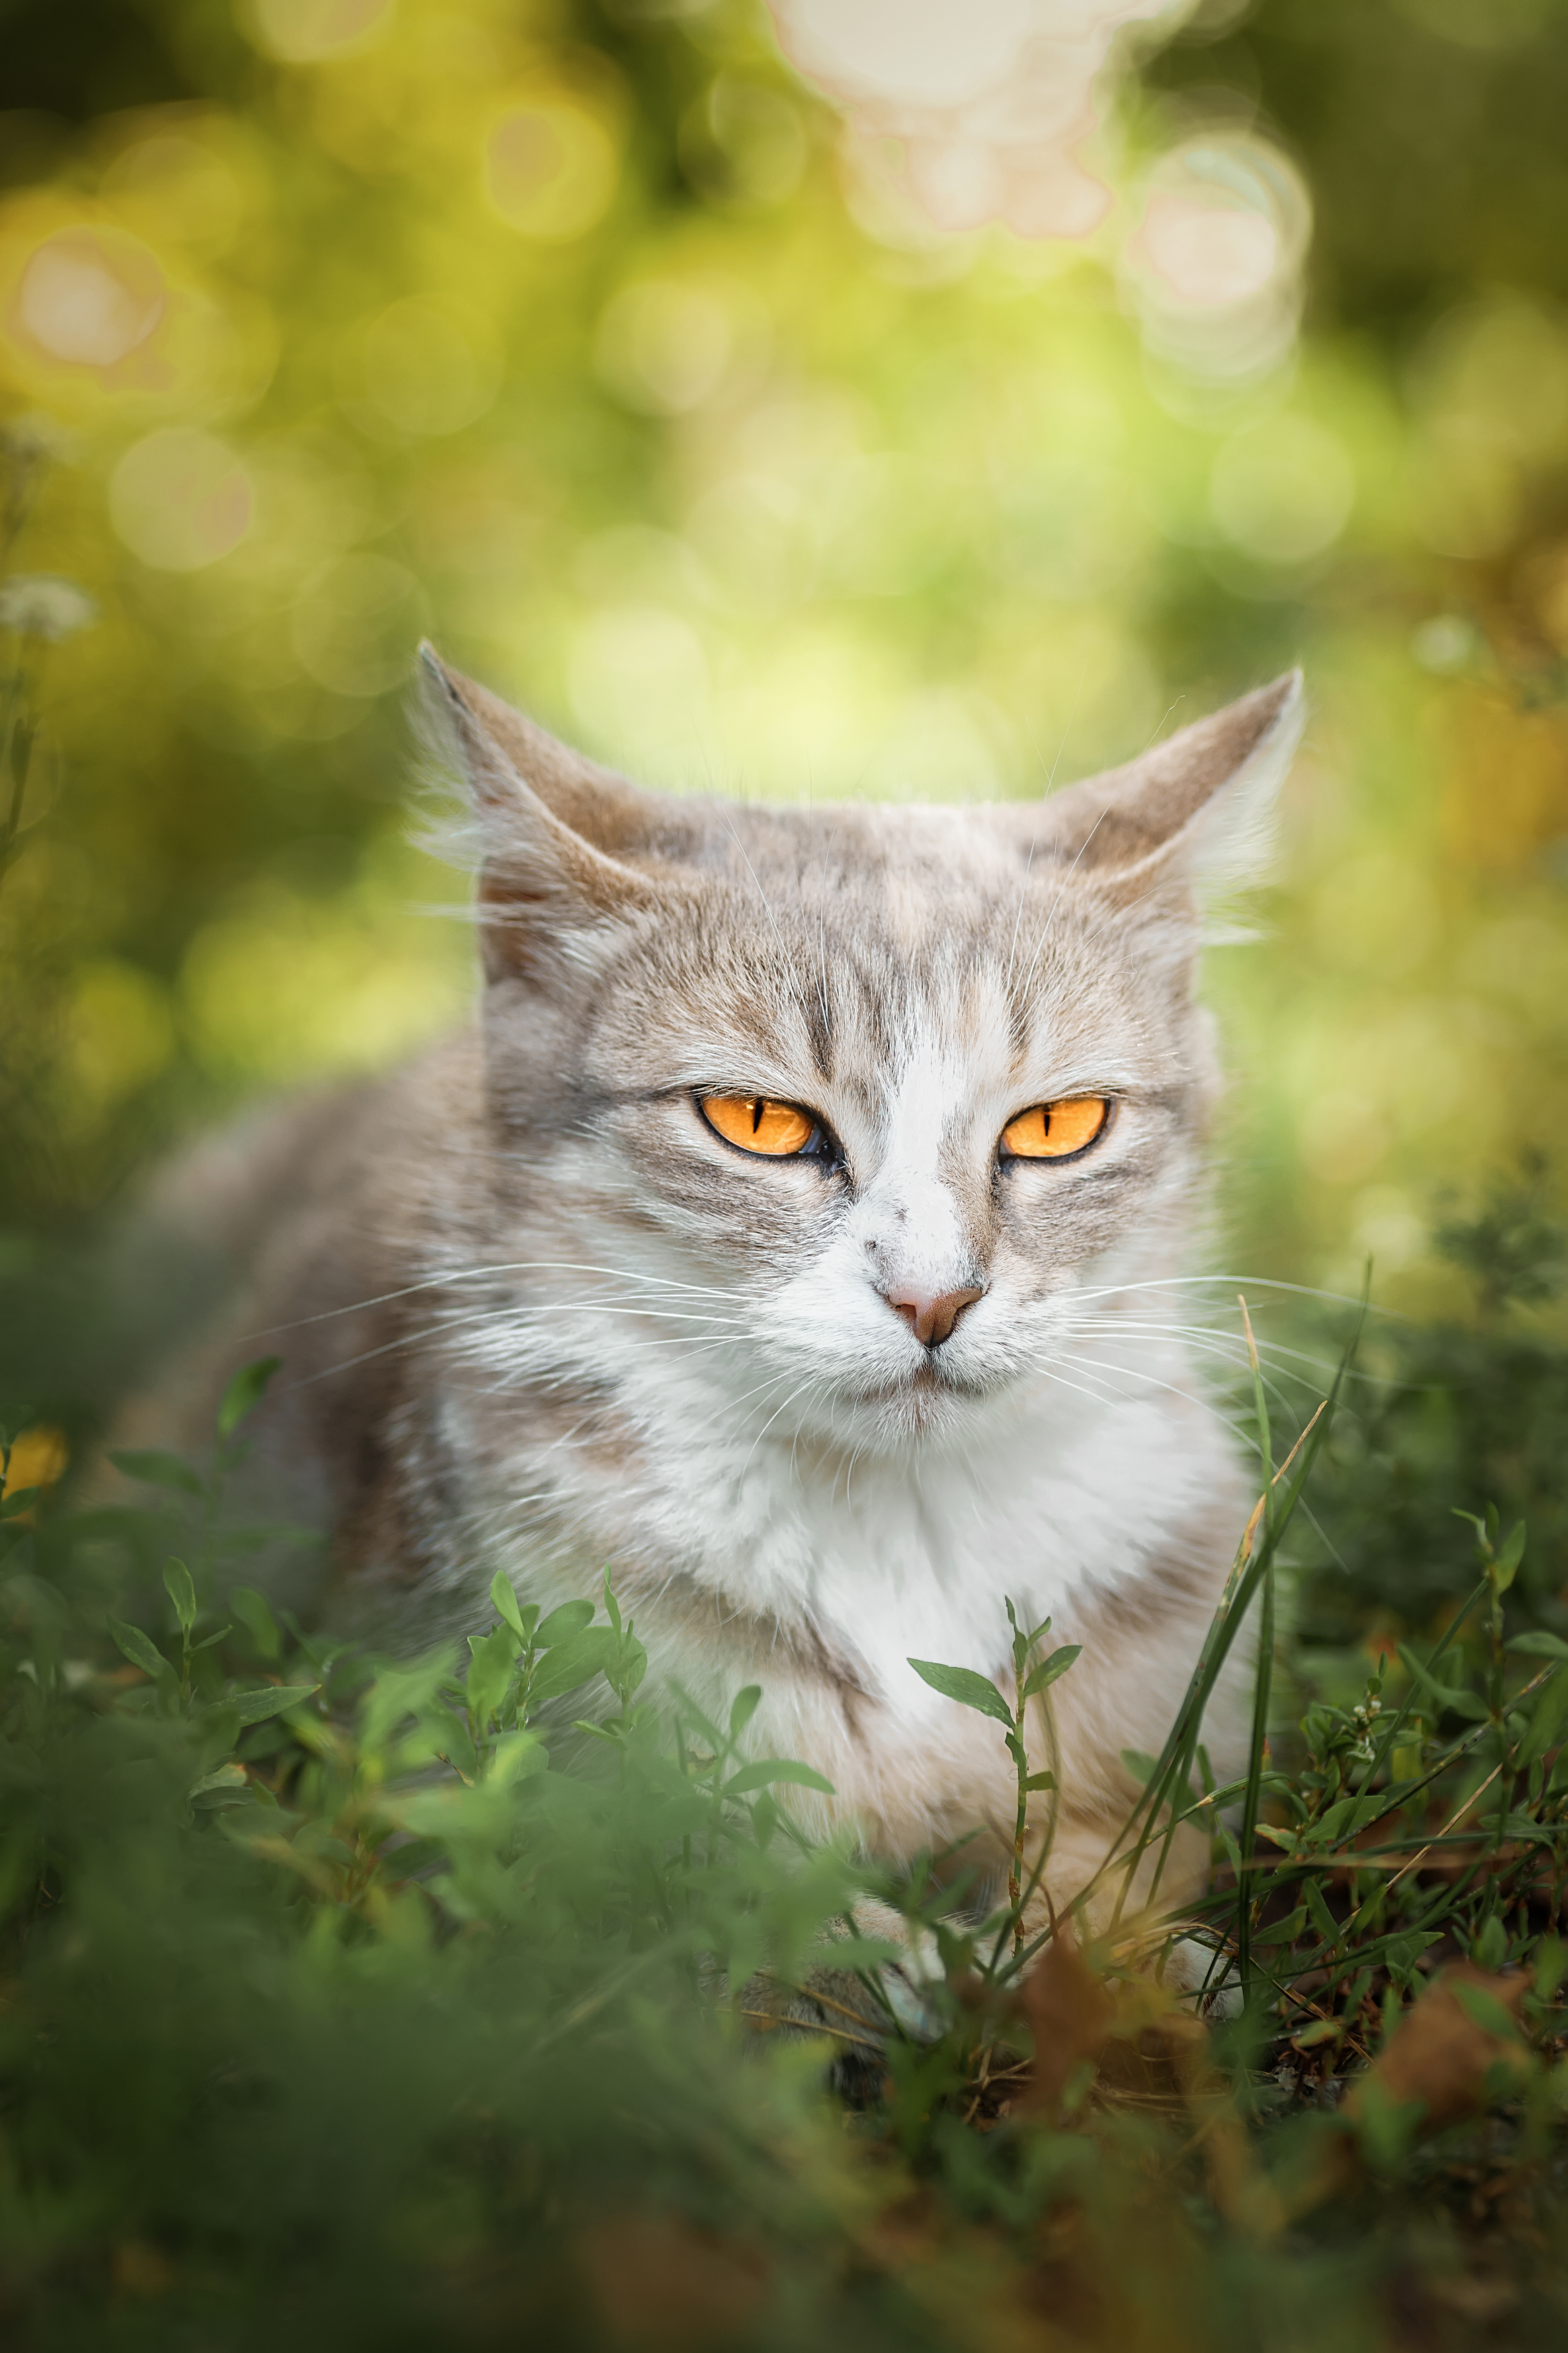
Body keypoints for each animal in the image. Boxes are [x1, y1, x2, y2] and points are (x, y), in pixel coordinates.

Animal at [126, 659, 1297, 1948]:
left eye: (1055, 1126)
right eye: (758, 1123)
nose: (933, 1297)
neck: (900, 1531)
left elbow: (1117, 1871)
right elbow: (739, 1912)